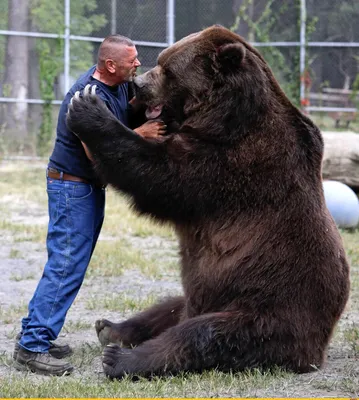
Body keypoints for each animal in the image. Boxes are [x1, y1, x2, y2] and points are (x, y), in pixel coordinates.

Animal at [66, 24, 350, 378]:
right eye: (161, 60)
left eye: (168, 70)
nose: (139, 84)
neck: (225, 117)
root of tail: (321, 345)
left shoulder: (233, 162)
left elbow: (161, 175)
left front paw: (89, 109)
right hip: (204, 299)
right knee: (169, 306)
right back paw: (112, 328)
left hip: (268, 306)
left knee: (206, 335)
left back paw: (120, 358)